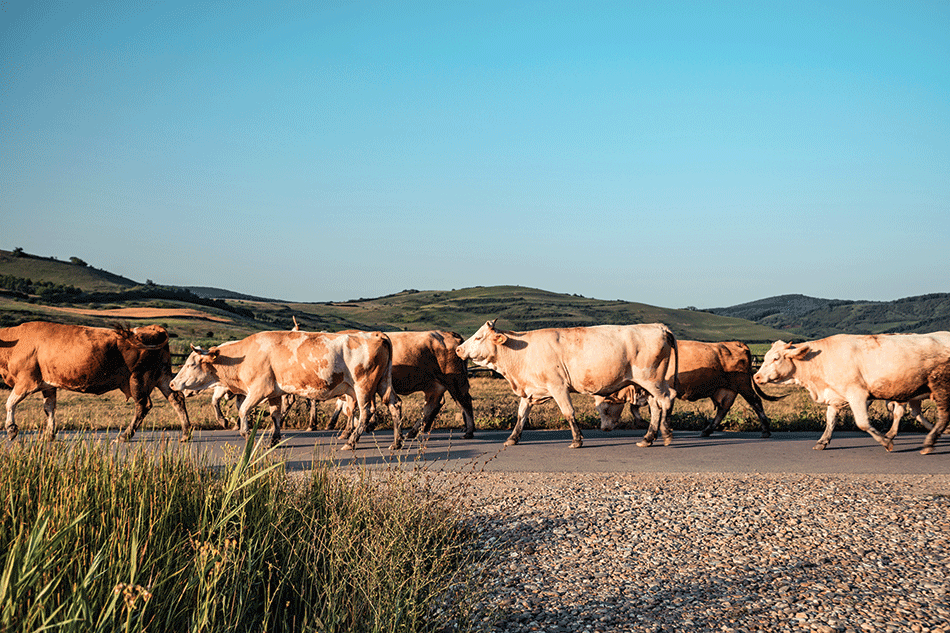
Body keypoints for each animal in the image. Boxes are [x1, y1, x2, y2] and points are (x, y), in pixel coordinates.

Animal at [0, 320, 192, 440]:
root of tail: (153, 328)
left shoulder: (26, 381)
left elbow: (10, 403)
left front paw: (11, 429)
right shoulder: (48, 385)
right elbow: (49, 409)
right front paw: (49, 434)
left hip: (138, 378)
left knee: (143, 405)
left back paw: (125, 435)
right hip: (162, 375)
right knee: (176, 399)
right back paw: (185, 433)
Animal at [171, 328, 402, 446]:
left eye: (191, 364)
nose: (172, 383)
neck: (244, 355)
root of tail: (376, 334)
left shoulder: (259, 390)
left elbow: (243, 410)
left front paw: (247, 434)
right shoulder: (274, 392)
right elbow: (275, 414)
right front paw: (274, 438)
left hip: (363, 386)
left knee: (365, 412)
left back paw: (352, 440)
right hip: (383, 383)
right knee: (395, 406)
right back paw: (397, 442)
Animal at [454, 320, 676, 450]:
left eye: (478, 337)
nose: (458, 349)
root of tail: (658, 326)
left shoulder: (558, 386)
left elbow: (568, 412)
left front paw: (577, 439)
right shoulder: (530, 391)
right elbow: (521, 415)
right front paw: (513, 438)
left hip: (651, 379)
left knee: (666, 399)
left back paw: (666, 434)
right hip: (648, 384)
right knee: (656, 406)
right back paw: (648, 438)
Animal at [596, 338, 780, 436]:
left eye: (605, 409)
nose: (604, 429)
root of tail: (735, 343)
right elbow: (635, 408)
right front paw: (643, 423)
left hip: (742, 384)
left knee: (756, 402)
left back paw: (765, 430)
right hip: (727, 389)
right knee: (723, 409)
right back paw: (707, 430)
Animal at [760, 334, 950, 452]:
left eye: (776, 358)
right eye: (765, 357)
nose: (756, 376)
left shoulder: (857, 394)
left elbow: (863, 423)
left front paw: (886, 441)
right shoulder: (835, 396)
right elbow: (830, 420)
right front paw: (822, 441)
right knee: (916, 413)